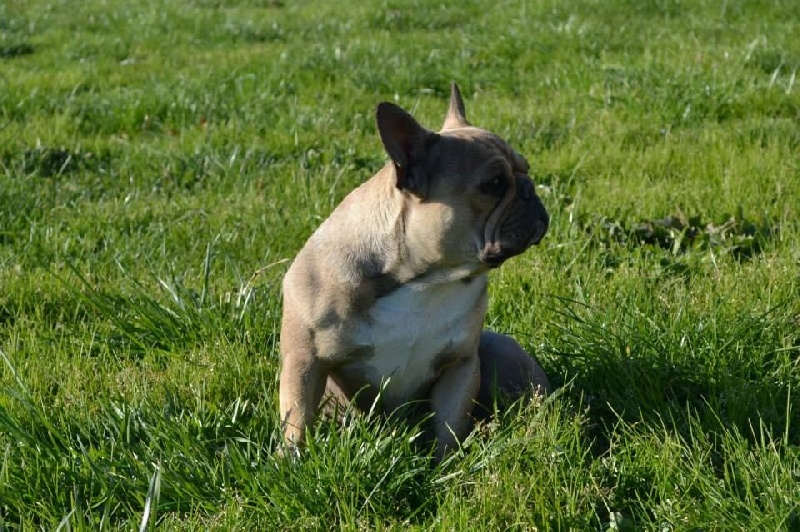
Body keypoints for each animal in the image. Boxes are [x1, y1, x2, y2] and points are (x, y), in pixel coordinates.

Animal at [280, 83, 552, 458]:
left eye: (526, 167)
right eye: (494, 183)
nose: (529, 189)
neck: (425, 279)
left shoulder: (460, 364)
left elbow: (450, 425)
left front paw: (446, 463)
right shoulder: (304, 361)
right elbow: (297, 421)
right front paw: (290, 462)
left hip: (501, 349)